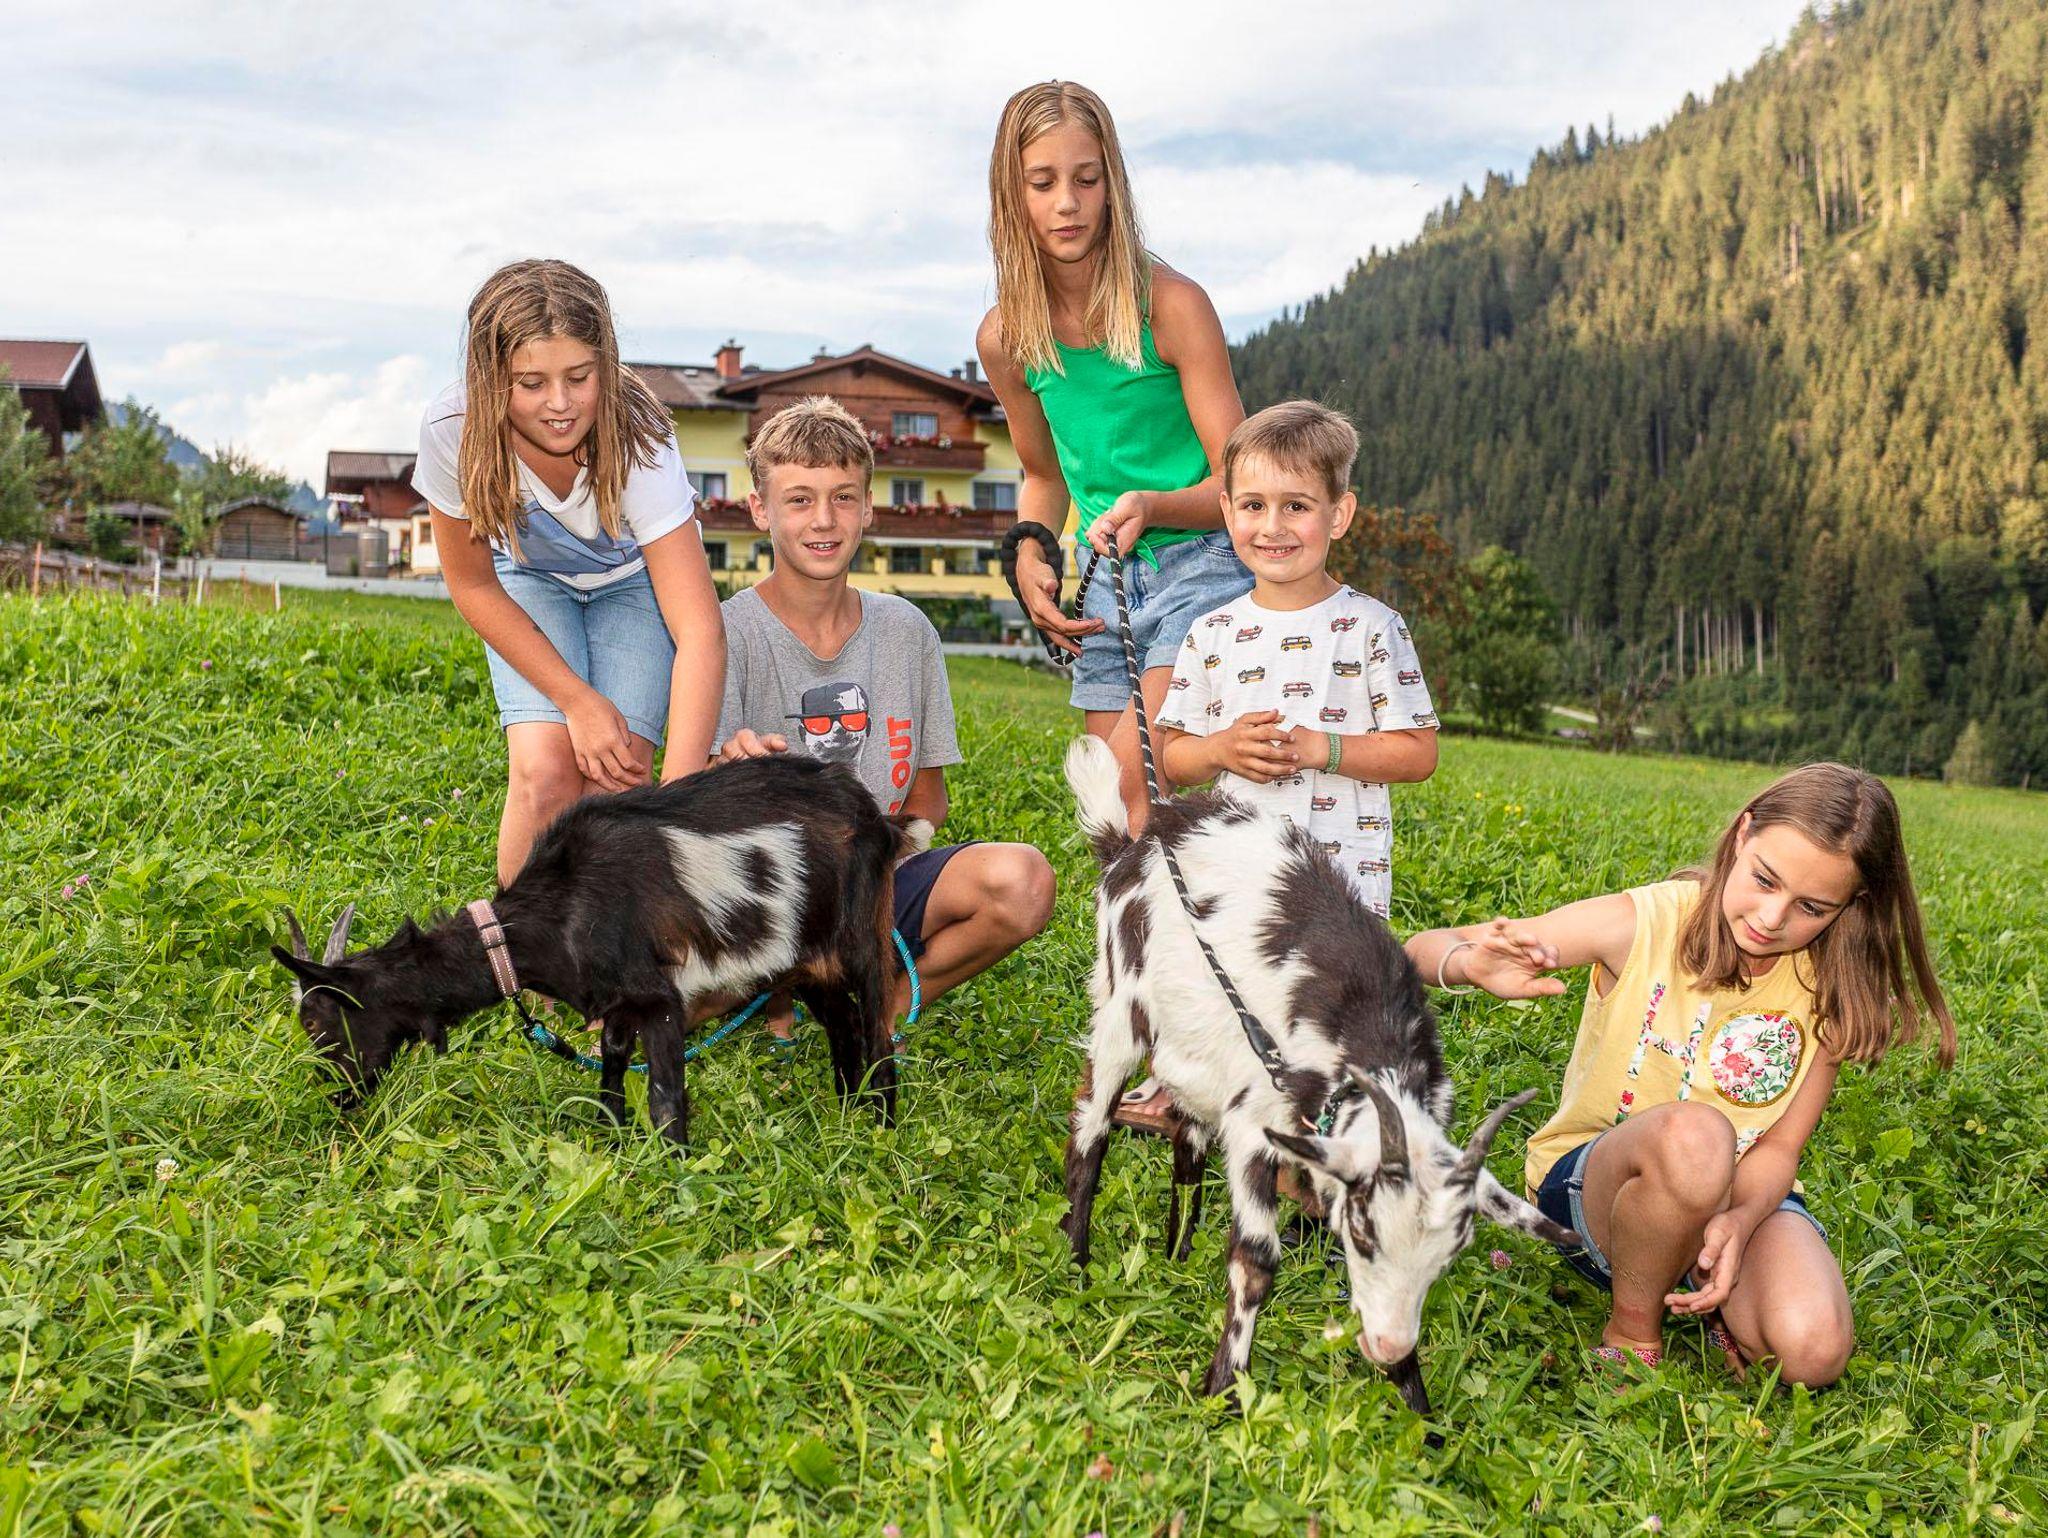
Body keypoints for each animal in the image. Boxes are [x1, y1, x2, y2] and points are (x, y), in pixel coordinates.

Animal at [272, 754, 925, 1143]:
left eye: (316, 1022)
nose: (338, 1101)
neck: (558, 913)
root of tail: (878, 816)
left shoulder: (662, 999)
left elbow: (666, 1101)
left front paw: (675, 1178)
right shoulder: (616, 1004)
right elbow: (611, 1075)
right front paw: (611, 1147)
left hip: (864, 935)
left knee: (877, 1029)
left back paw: (883, 1133)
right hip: (808, 962)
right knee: (843, 1025)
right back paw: (849, 1116)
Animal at [1060, 736, 1577, 1411]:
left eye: (1449, 1256)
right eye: (1363, 1234)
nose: (1385, 1344)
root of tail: (1134, 841)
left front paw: (1422, 1418)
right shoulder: (1258, 1124)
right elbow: (1256, 1260)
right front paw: (1223, 1393)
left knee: (1187, 1144)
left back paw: (1175, 1255)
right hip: (1122, 1009)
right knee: (1091, 1132)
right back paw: (1075, 1261)